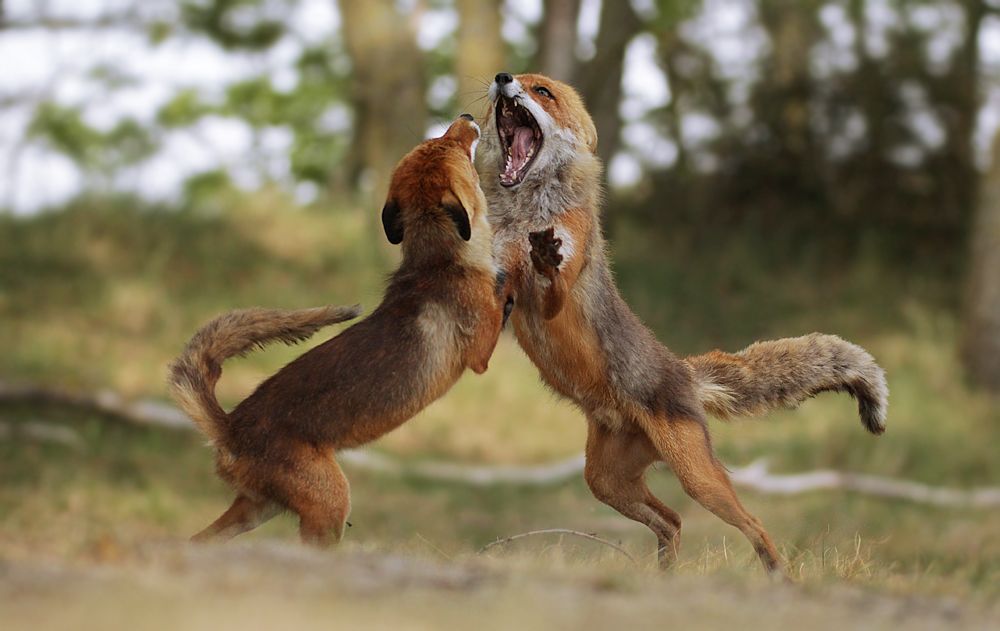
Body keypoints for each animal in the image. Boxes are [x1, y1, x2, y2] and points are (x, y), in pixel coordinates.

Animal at [169, 117, 512, 548]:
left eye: (436, 141)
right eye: (448, 145)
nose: (466, 118)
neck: (438, 261)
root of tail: (230, 427)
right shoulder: (480, 353)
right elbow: (507, 288)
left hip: (257, 509)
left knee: (196, 541)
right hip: (331, 503)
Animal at [480, 71, 888, 576]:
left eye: (543, 92)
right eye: (518, 80)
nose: (502, 78)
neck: (523, 217)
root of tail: (685, 372)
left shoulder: (557, 290)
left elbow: (552, 282)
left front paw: (543, 258)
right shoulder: (498, 282)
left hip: (697, 479)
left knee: (753, 524)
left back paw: (776, 577)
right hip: (605, 480)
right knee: (671, 521)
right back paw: (664, 577)